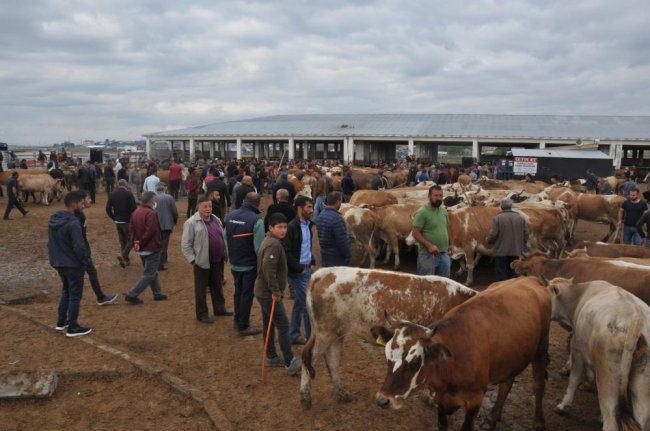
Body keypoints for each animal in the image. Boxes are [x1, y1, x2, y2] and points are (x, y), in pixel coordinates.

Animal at [300, 268, 476, 410]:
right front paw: (430, 399)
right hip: (325, 332)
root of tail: (323, 272)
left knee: (332, 361)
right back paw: (305, 398)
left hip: (336, 333)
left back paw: (342, 393)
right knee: (310, 358)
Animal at [372, 276, 548, 431]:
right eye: (387, 357)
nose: (383, 400)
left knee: (538, 385)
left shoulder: (475, 400)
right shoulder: (441, 400)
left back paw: (539, 422)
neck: (453, 362)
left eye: (415, 362)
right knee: (506, 384)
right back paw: (492, 419)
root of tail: (529, 278)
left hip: (541, 348)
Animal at [548, 278, 648, 430]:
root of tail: (637, 316)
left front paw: (563, 406)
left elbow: (574, 379)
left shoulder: (577, 347)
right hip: (641, 384)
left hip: (607, 375)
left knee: (610, 420)